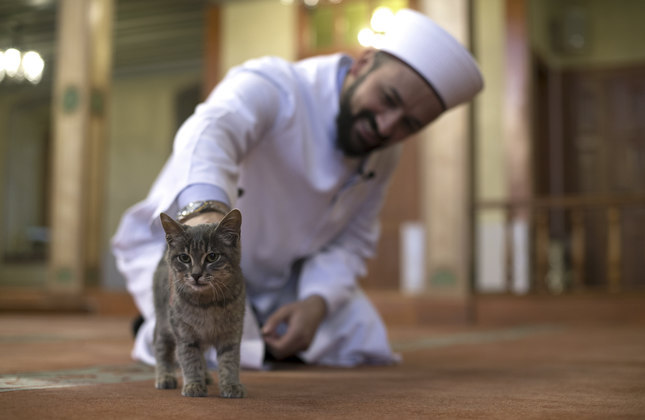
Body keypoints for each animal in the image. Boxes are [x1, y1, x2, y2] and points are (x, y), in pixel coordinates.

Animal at [151, 212, 247, 398]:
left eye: (212, 256)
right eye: (184, 258)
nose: (196, 274)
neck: (208, 303)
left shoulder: (231, 334)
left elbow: (229, 361)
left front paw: (231, 384)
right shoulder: (184, 334)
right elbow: (189, 359)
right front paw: (194, 385)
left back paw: (206, 376)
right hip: (164, 323)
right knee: (161, 349)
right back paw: (165, 376)